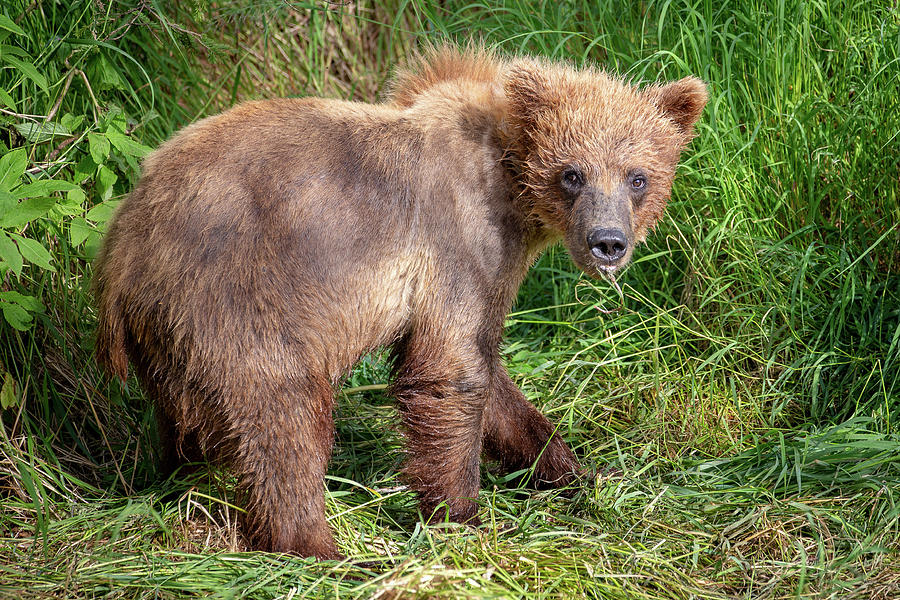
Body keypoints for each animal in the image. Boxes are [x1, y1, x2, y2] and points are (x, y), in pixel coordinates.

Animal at [93, 45, 712, 556]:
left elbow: (492, 380)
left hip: (172, 336)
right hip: (239, 293)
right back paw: (322, 547)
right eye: (573, 173)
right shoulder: (459, 238)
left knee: (188, 423)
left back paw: (182, 488)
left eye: (637, 176)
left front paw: (573, 473)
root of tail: (122, 247)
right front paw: (461, 517)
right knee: (284, 412)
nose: (608, 241)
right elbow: (452, 370)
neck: (512, 176)